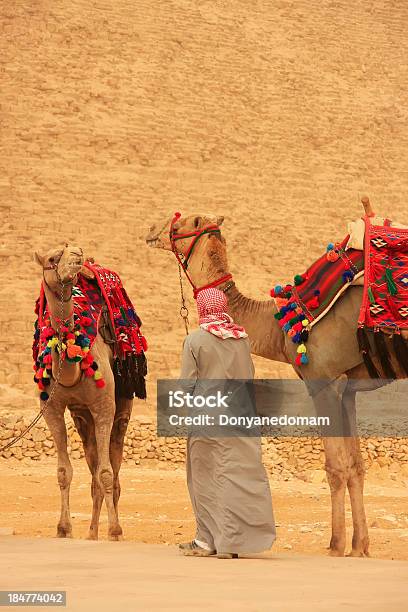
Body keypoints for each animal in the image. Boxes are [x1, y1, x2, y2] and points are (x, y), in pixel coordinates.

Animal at [34, 244, 133, 540]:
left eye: (67, 248)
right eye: (52, 258)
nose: (77, 254)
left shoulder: (104, 406)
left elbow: (106, 473)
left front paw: (115, 530)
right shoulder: (51, 408)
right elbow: (64, 472)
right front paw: (63, 528)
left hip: (122, 404)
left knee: (113, 464)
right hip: (81, 417)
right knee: (92, 468)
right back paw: (91, 532)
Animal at [145, 213, 406, 556]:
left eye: (179, 224)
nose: (151, 231)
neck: (279, 325)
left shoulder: (325, 383)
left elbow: (336, 467)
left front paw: (336, 546)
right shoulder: (347, 388)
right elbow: (356, 466)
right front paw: (359, 547)